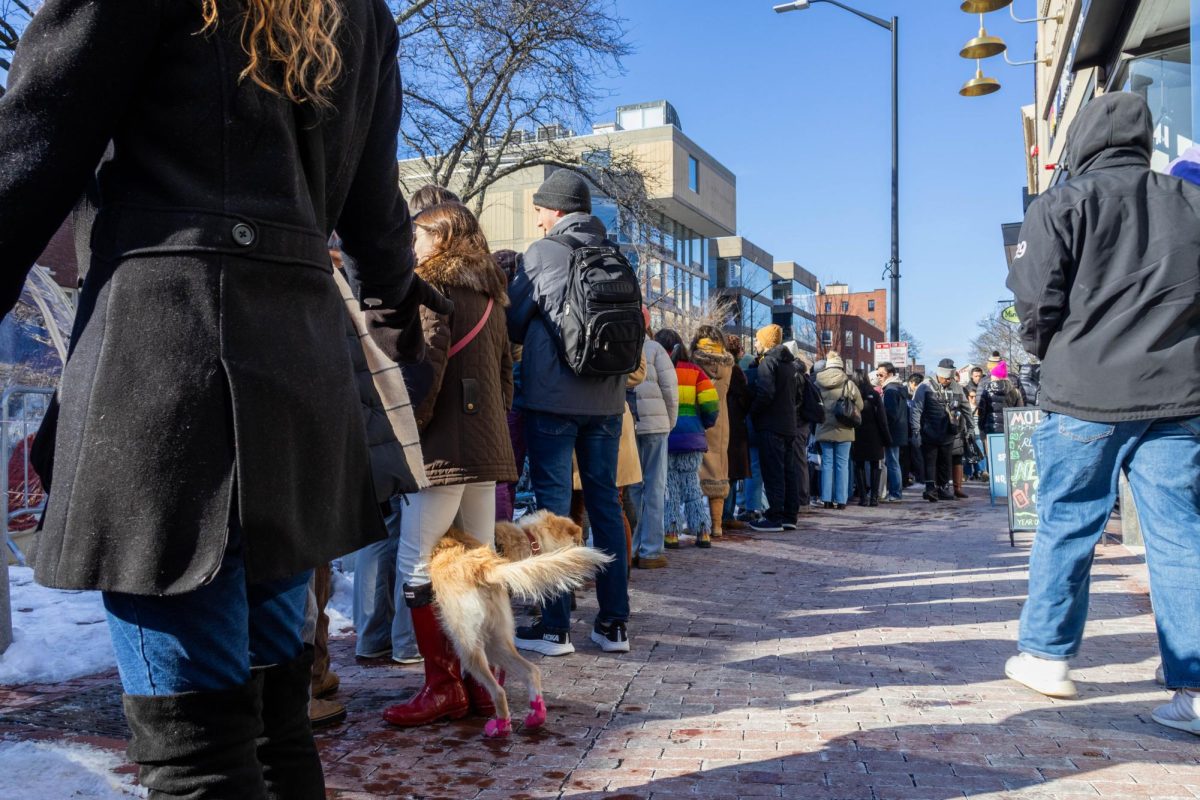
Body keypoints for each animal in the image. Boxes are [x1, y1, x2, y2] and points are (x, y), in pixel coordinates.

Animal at [427, 513, 609, 738]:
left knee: (498, 690)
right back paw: (535, 716)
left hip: (471, 645)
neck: (526, 540)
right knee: (531, 671)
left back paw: (500, 726)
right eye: (578, 541)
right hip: (495, 642)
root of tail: (483, 566)